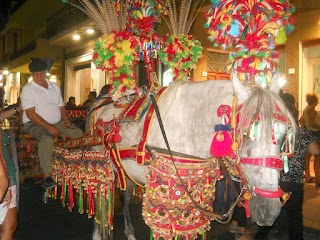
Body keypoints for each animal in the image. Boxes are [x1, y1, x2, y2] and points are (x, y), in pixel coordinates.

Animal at [87, 73, 296, 240]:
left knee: (126, 198)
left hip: (127, 172)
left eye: (283, 136)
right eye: (244, 135)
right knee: (101, 198)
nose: (268, 210)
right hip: (102, 169)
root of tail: (100, 103)